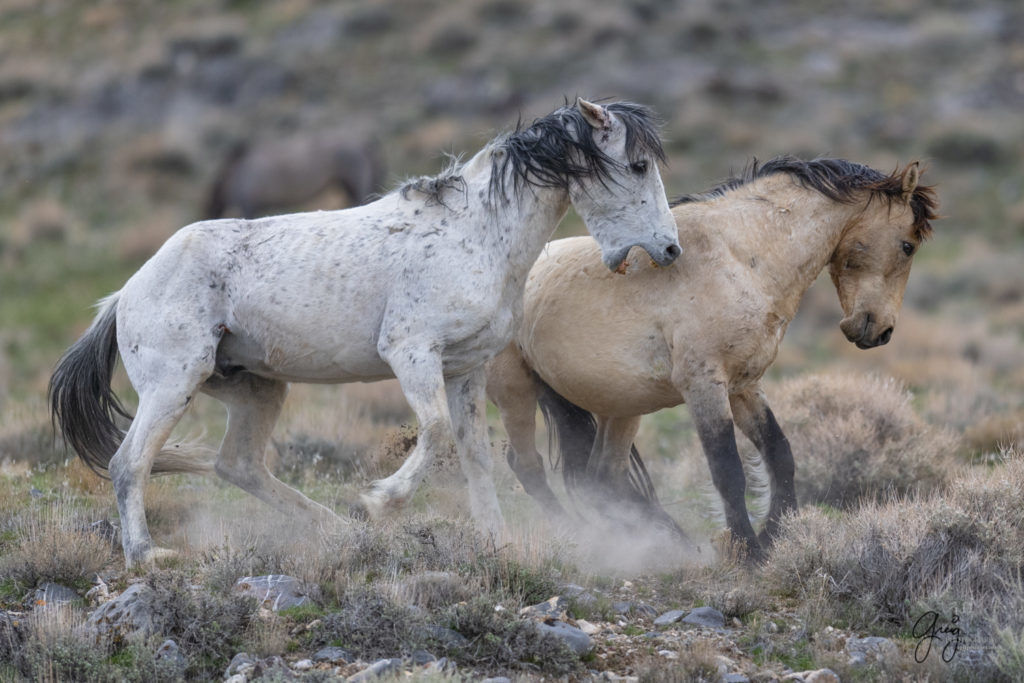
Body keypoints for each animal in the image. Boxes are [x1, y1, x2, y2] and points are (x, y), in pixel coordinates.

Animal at [483, 158, 937, 561]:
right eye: (908, 245)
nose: (879, 331)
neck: (740, 257)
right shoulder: (704, 385)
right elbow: (727, 470)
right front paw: (748, 550)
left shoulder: (744, 385)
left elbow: (780, 454)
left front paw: (776, 533)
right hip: (514, 392)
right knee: (527, 466)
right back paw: (578, 533)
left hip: (621, 406)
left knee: (603, 478)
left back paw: (662, 540)